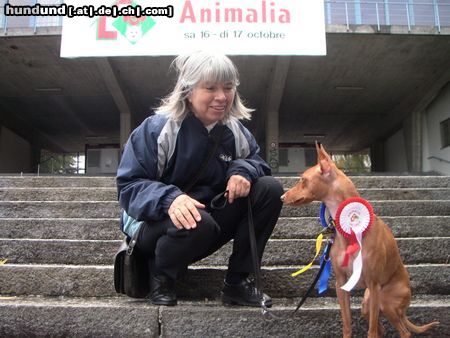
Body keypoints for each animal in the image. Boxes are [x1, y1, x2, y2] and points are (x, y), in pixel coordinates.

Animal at [282, 143, 440, 338]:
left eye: (302, 180)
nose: (282, 197)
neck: (349, 226)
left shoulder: (373, 284)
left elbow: (370, 331)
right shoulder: (341, 284)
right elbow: (347, 324)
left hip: (386, 302)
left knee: (402, 332)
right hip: (368, 303)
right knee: (381, 329)